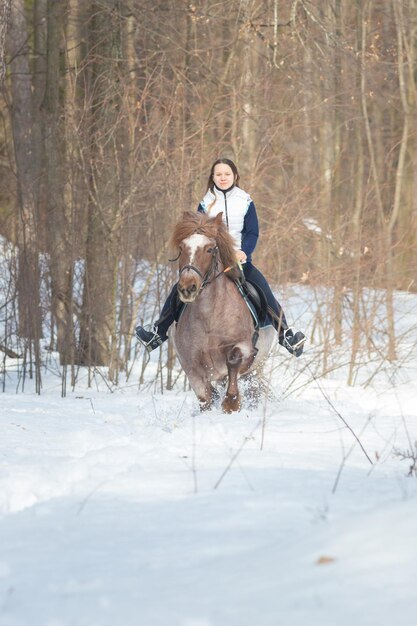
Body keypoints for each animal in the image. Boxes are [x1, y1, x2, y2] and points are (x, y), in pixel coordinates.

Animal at [169, 212, 272, 412]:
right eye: (182, 247)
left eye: (209, 249)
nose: (187, 288)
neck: (209, 317)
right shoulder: (191, 367)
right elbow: (205, 399)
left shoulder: (244, 347)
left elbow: (233, 360)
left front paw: (231, 403)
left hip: (257, 366)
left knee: (253, 388)